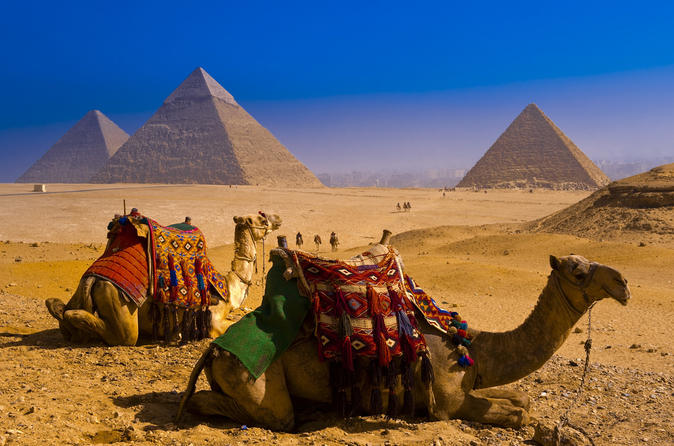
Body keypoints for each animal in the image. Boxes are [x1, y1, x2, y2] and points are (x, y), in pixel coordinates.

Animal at [44, 212, 280, 344]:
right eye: (261, 218)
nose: (277, 219)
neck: (230, 288)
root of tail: (93, 279)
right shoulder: (212, 320)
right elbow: (234, 324)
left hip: (83, 288)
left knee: (64, 315)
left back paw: (59, 311)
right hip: (118, 302)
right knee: (121, 335)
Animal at [178, 249, 632, 430]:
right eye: (578, 271)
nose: (623, 283)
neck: (473, 347)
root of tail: (212, 350)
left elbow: (523, 399)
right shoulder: (447, 405)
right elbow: (519, 414)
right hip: (252, 377)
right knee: (262, 413)